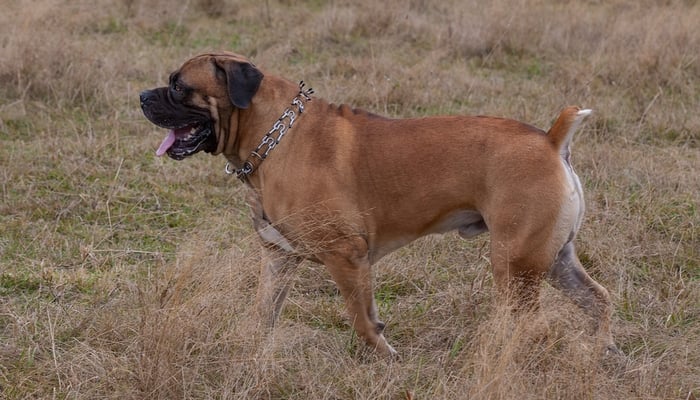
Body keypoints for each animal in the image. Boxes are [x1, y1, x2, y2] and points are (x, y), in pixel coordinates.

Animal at [141, 50, 616, 356]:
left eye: (179, 87)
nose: (143, 96)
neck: (273, 136)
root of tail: (551, 140)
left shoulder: (346, 258)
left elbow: (362, 320)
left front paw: (386, 360)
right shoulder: (278, 259)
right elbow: (265, 314)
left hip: (514, 265)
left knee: (531, 325)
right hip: (553, 260)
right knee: (597, 300)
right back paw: (605, 353)